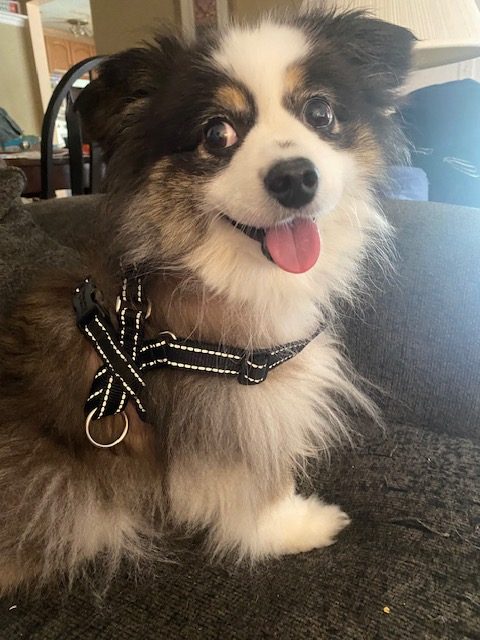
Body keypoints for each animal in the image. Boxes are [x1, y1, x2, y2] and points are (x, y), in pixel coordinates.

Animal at [0, 7, 413, 593]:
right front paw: (297, 525)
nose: (295, 177)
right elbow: (251, 482)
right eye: (216, 133)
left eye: (320, 111)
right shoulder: (225, 411)